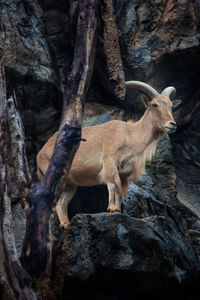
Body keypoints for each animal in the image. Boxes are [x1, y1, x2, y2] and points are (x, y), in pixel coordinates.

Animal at [36, 80, 181, 227]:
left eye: (170, 106)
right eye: (155, 104)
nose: (172, 124)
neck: (130, 134)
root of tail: (40, 153)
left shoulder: (123, 173)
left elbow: (119, 190)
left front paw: (118, 210)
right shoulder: (109, 161)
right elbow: (112, 185)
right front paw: (112, 208)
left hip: (70, 184)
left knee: (62, 202)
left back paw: (66, 223)